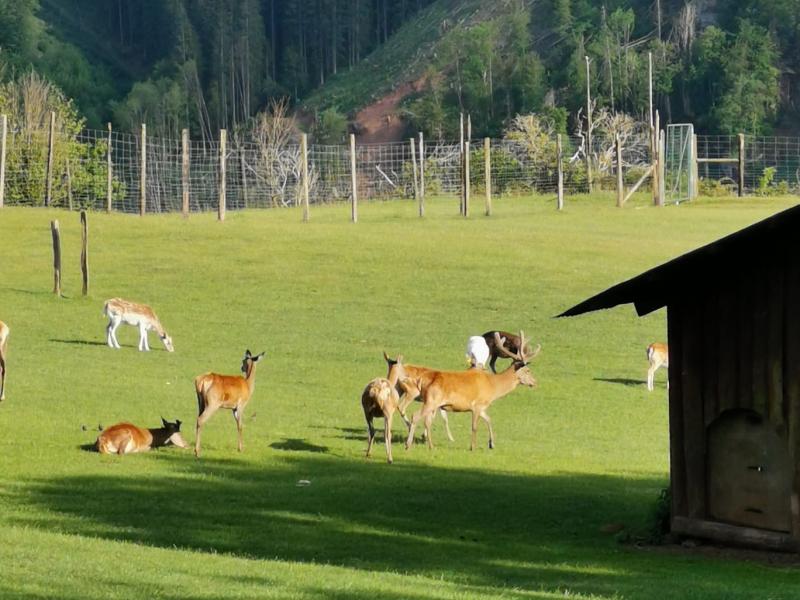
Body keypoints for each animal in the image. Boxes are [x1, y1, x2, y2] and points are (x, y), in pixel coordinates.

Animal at [406, 331, 540, 451]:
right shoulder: (477, 405)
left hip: (433, 403)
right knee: (415, 416)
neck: (493, 387)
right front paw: (473, 447)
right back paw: (408, 445)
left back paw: (431, 446)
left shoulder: (482, 407)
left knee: (427, 421)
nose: (534, 382)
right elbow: (474, 427)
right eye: (528, 370)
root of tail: (422, 380)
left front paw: (491, 444)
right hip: (431, 400)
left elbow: (489, 419)